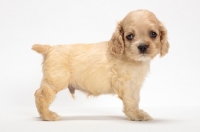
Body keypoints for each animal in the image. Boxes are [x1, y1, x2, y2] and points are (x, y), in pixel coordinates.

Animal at [32, 9, 169, 120]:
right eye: (129, 36)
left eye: (153, 34)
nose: (142, 46)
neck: (130, 57)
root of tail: (49, 48)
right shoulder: (126, 84)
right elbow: (131, 100)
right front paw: (136, 115)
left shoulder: (135, 85)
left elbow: (136, 99)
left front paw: (137, 113)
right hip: (56, 80)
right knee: (40, 95)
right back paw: (48, 116)